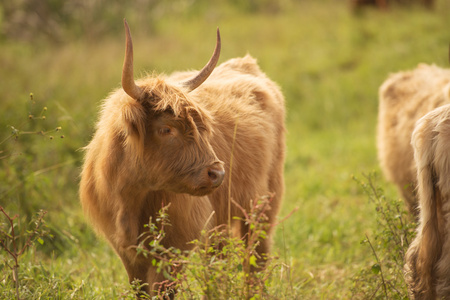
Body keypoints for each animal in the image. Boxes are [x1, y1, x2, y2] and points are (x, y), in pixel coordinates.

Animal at [79, 20, 286, 296]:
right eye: (166, 129)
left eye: (202, 126)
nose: (218, 174)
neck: (133, 198)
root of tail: (246, 63)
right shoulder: (126, 251)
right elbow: (141, 289)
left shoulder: (175, 245)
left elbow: (165, 290)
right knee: (218, 262)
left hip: (264, 200)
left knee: (255, 256)